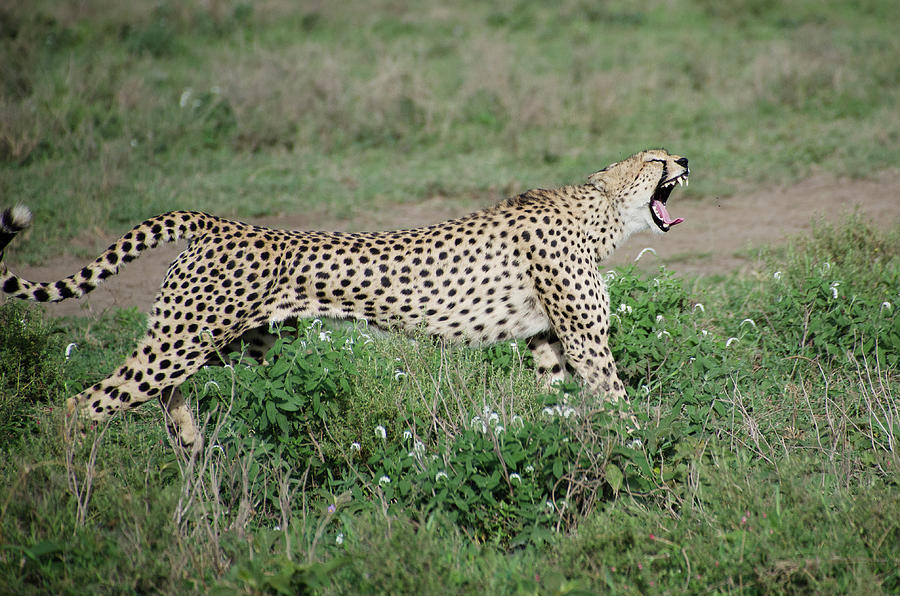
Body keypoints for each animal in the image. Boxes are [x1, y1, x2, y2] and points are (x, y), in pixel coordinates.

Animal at [1, 149, 688, 444]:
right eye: (655, 158)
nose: (684, 158)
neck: (601, 213)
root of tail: (217, 222)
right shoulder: (584, 339)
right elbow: (617, 400)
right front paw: (645, 447)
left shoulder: (547, 340)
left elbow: (554, 404)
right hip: (187, 337)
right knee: (83, 403)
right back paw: (62, 482)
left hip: (228, 340)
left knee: (164, 393)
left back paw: (192, 450)